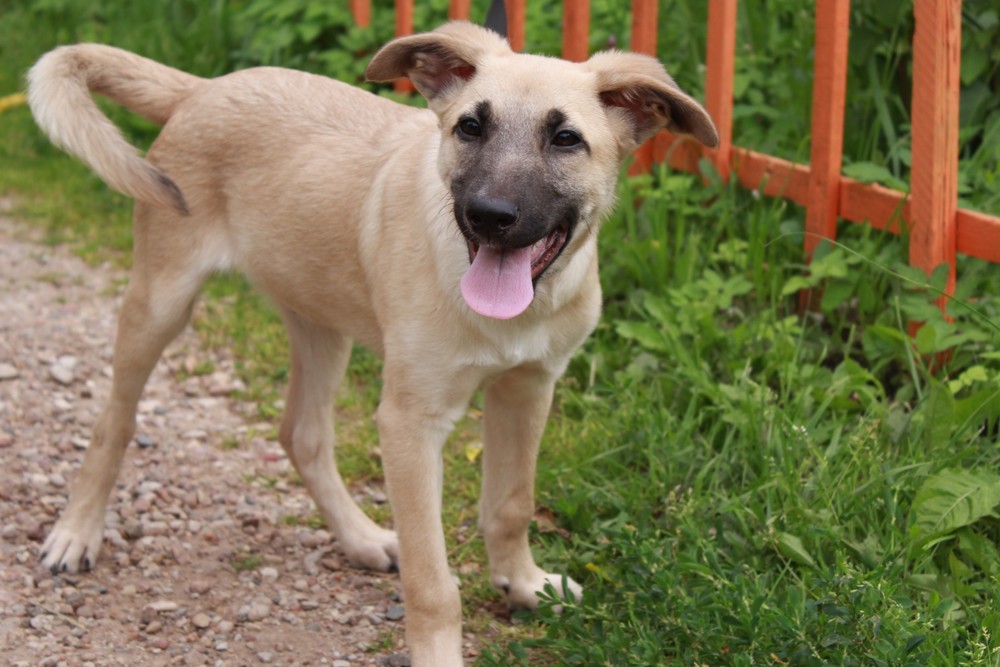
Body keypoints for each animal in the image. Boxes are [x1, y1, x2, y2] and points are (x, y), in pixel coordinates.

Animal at [27, 22, 716, 667]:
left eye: (566, 139)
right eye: (470, 127)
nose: (488, 215)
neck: (509, 309)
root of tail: (202, 89)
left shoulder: (529, 388)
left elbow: (512, 504)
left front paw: (523, 585)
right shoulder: (410, 424)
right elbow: (433, 581)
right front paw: (440, 650)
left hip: (318, 320)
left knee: (302, 434)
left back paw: (359, 539)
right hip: (161, 300)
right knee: (115, 420)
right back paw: (77, 532)